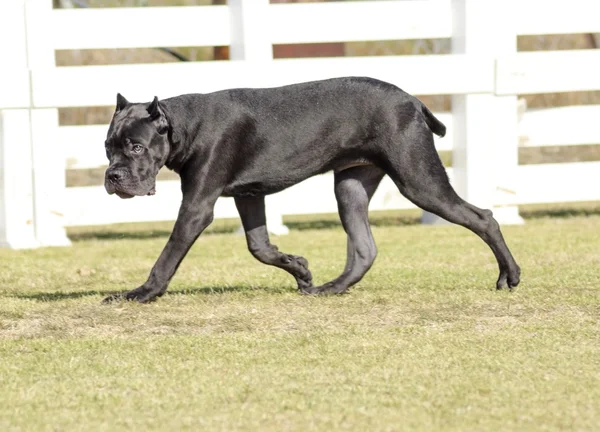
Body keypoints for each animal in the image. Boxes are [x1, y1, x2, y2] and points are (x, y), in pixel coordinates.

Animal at [103, 75, 520, 304]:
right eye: (108, 147)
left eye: (136, 147)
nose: (113, 176)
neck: (182, 126)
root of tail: (414, 102)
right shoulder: (249, 195)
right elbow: (259, 247)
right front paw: (300, 270)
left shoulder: (197, 206)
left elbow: (168, 255)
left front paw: (142, 293)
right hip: (351, 186)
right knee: (365, 249)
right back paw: (331, 288)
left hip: (418, 180)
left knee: (484, 217)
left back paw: (510, 276)